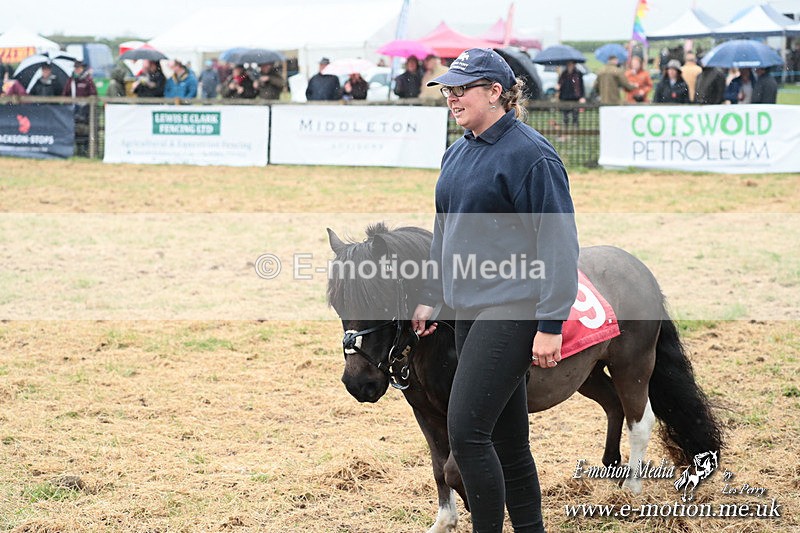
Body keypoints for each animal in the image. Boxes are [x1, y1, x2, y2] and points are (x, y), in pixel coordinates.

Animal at [326, 222, 722, 533]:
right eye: (338, 304)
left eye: (378, 298)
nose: (358, 383)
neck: (444, 336)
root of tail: (638, 269)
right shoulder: (426, 412)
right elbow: (439, 468)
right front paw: (445, 520)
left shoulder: (470, 416)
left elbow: (455, 469)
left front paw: (475, 504)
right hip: (586, 372)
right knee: (614, 405)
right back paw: (611, 466)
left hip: (634, 364)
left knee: (640, 420)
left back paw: (631, 488)